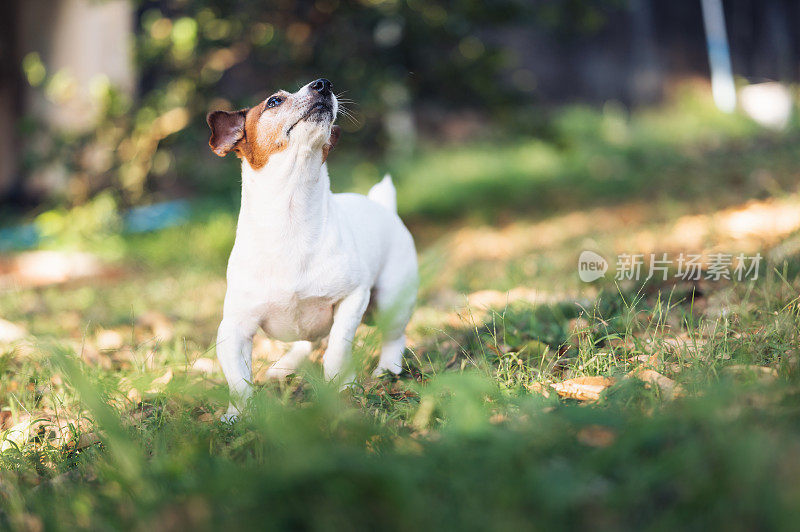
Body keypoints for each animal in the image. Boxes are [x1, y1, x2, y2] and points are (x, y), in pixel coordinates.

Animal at [206, 79, 418, 420]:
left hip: (391, 299)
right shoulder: (234, 330)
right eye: (274, 101)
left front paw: (343, 386)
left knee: (393, 337)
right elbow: (238, 379)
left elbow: (338, 349)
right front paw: (237, 416)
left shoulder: (353, 298)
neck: (292, 219)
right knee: (308, 342)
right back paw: (284, 366)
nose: (323, 83)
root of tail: (383, 205)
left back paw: (387, 369)